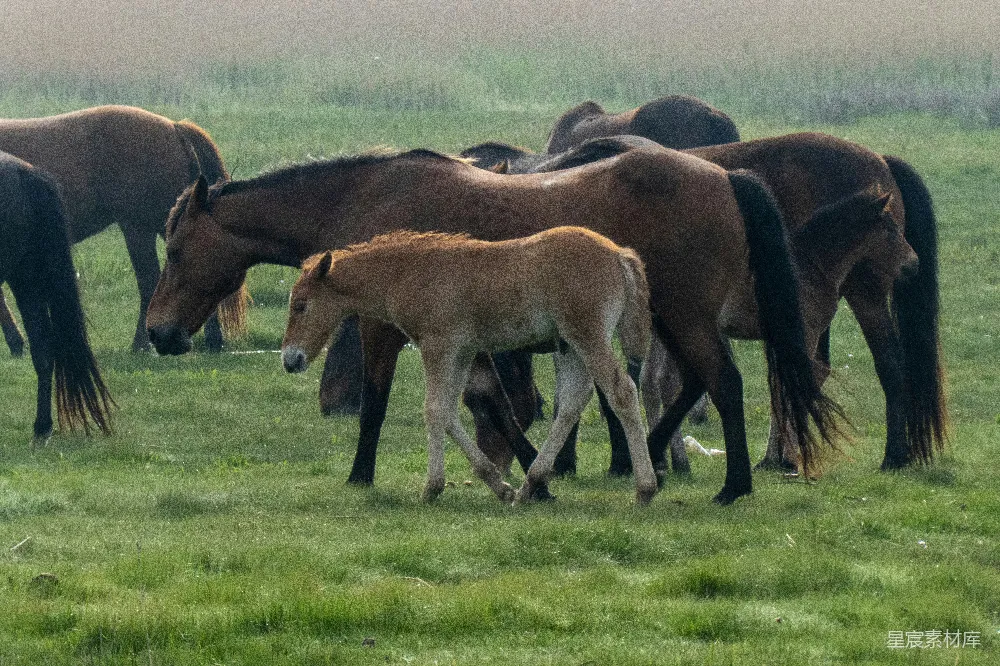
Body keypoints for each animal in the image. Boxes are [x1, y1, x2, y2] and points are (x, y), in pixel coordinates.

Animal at [281, 228, 656, 505]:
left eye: (300, 305)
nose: (290, 359)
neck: (410, 273)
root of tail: (620, 255)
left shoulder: (438, 346)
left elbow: (433, 410)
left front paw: (431, 488)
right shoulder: (462, 352)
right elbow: (448, 412)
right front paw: (498, 485)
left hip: (588, 336)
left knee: (622, 391)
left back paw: (645, 489)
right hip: (569, 345)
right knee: (572, 403)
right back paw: (530, 485)